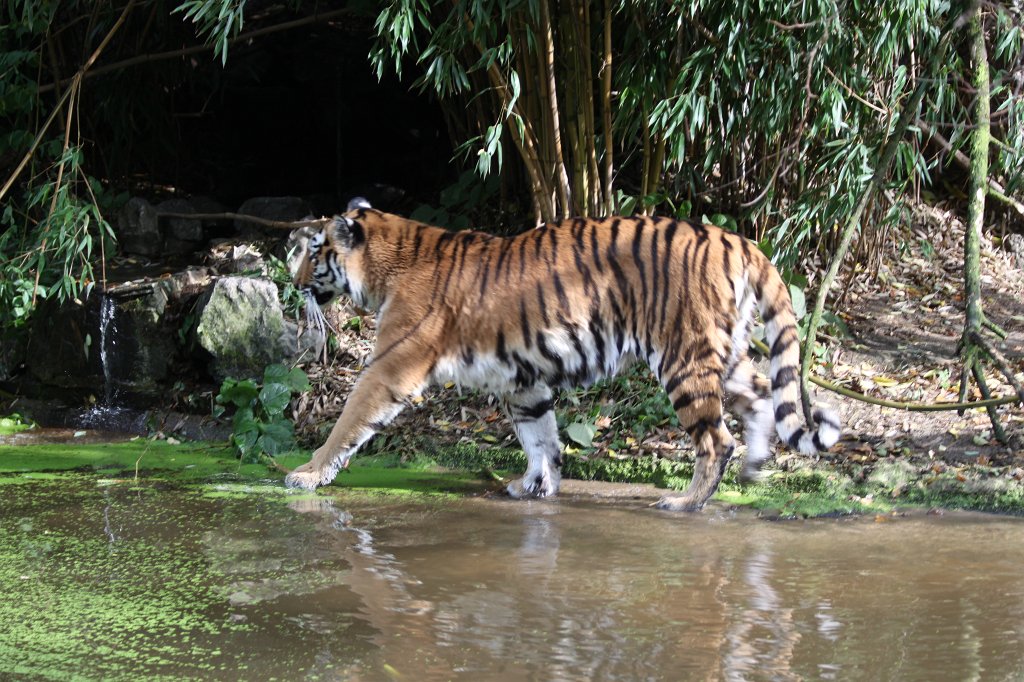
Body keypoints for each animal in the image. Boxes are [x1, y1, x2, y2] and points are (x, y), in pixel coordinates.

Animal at [284, 197, 840, 511]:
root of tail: (738, 240)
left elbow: (348, 421)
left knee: (716, 440)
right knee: (763, 392)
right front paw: (536, 488)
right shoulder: (523, 381)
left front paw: (305, 474)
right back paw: (754, 471)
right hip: (724, 354)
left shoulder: (390, 366)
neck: (387, 261)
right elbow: (541, 438)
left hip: (684, 358)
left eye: (311, 250)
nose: (292, 283)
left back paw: (685, 502)